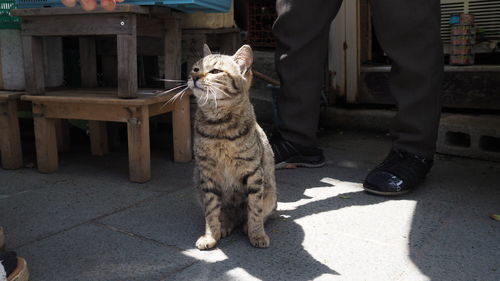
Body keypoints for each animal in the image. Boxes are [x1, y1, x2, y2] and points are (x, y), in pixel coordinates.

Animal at [187, 44, 278, 249]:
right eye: (195, 69)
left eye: (215, 71)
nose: (194, 76)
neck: (219, 127)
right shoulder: (207, 174)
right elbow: (211, 210)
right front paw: (211, 235)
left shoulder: (253, 172)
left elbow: (255, 209)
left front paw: (257, 234)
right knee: (225, 214)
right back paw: (226, 224)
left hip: (271, 193)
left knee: (260, 213)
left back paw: (247, 226)